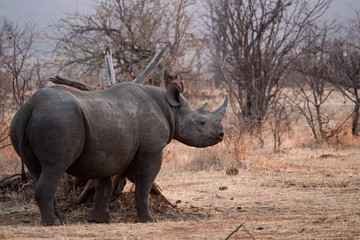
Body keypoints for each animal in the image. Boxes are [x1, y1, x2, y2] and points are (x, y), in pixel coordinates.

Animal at [9, 82, 226, 225]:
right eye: (201, 123)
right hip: (58, 121)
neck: (171, 110)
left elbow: (104, 186)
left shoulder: (106, 154)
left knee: (37, 169)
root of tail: (30, 106)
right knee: (55, 167)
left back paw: (60, 219)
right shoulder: (152, 151)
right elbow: (144, 185)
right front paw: (148, 220)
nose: (221, 135)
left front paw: (100, 220)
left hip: (22, 121)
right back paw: (54, 224)